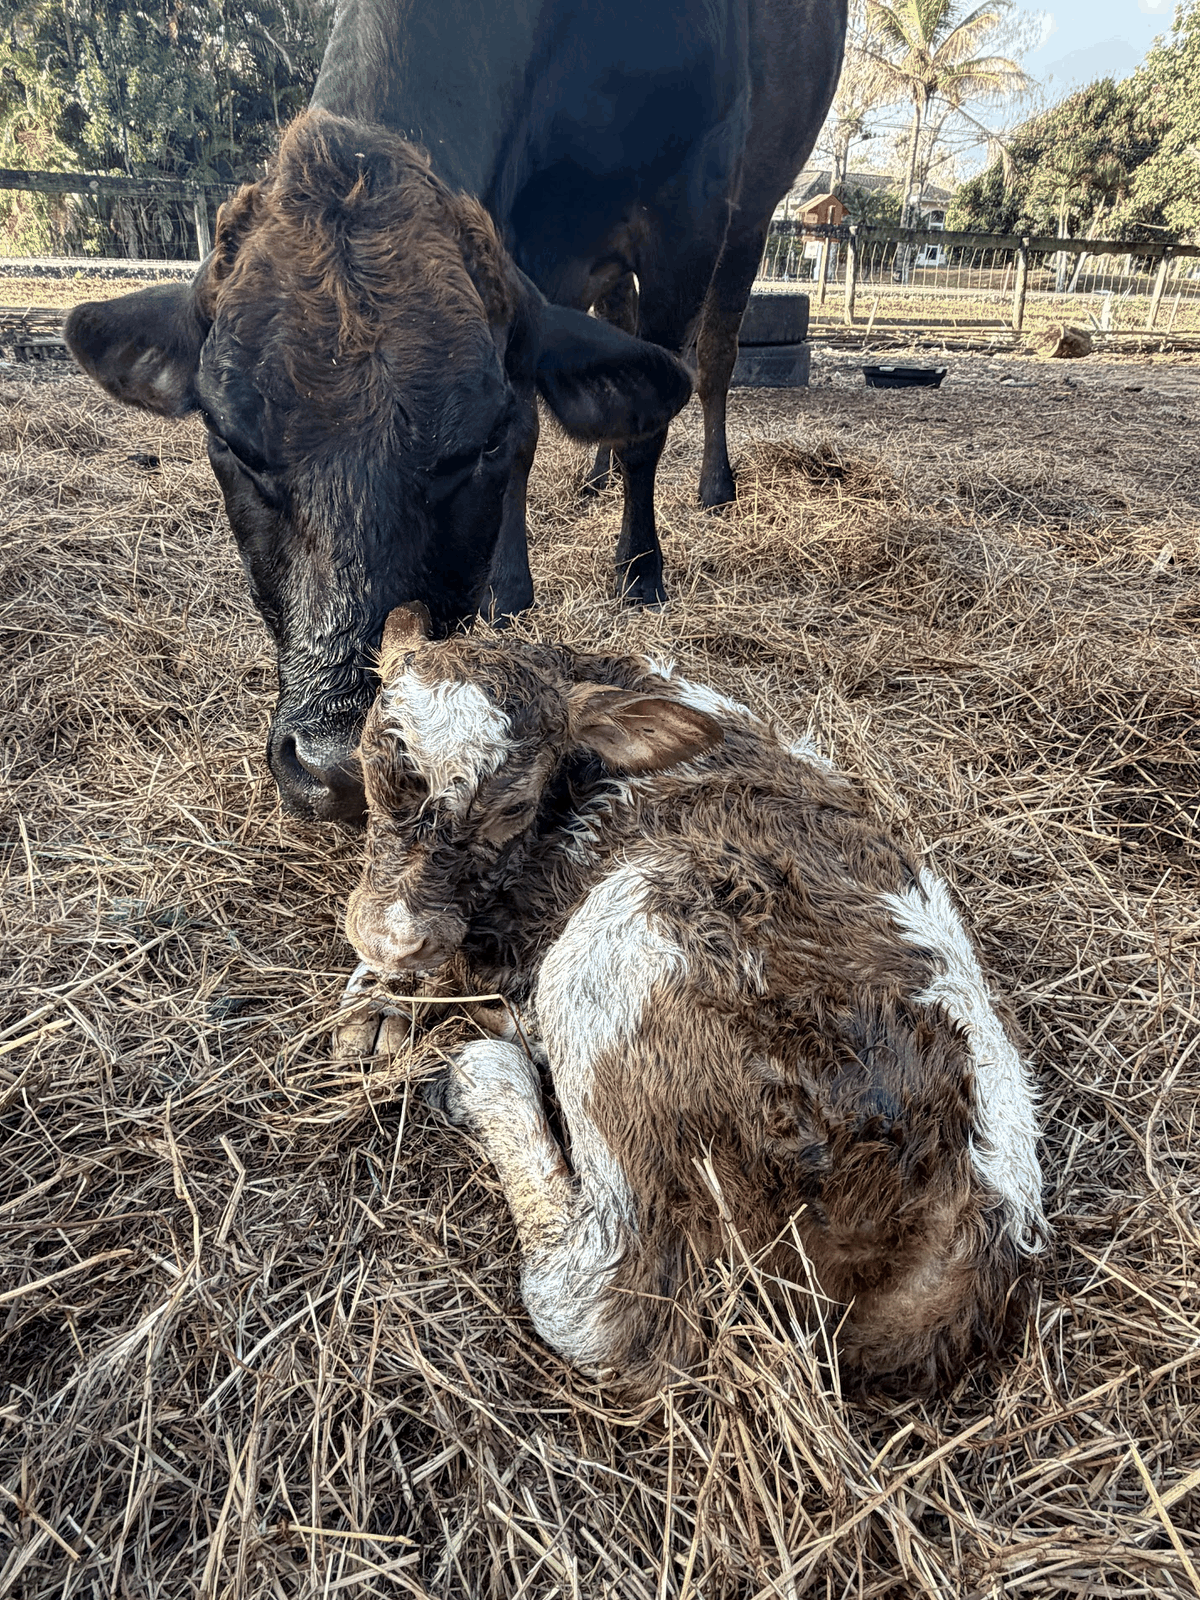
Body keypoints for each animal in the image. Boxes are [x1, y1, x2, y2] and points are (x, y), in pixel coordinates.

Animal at [63, 0, 847, 825]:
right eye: (230, 443)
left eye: (478, 446)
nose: (341, 762)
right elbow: (553, 418)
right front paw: (508, 590)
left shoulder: (687, 213)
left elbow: (629, 424)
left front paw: (639, 572)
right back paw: (592, 477)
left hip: (750, 214)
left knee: (714, 356)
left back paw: (712, 486)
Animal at [341, 606, 1046, 1395]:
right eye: (370, 762)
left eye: (512, 805)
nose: (394, 938)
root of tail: (985, 1225)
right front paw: (378, 998)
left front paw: (395, 995)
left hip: (629, 930)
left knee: (606, 1307)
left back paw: (487, 1074)